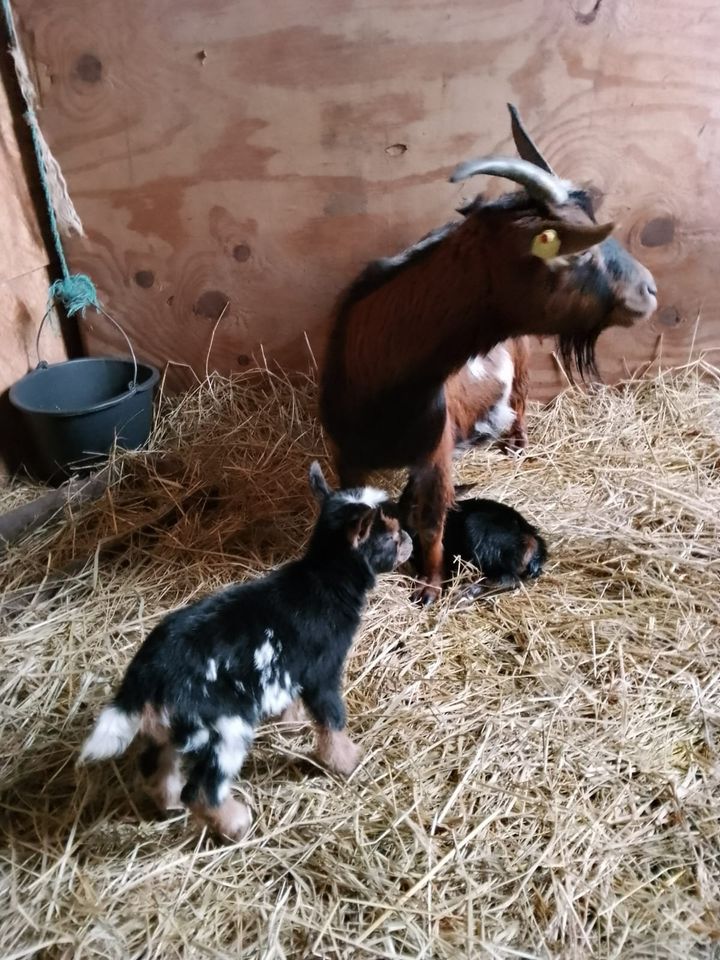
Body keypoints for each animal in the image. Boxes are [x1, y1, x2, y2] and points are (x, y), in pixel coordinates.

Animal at [318, 103, 656, 600]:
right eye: (574, 250)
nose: (649, 291)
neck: (384, 382)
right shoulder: (346, 454)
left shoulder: (436, 456)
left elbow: (432, 520)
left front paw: (429, 587)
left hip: (520, 364)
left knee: (519, 404)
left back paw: (515, 447)